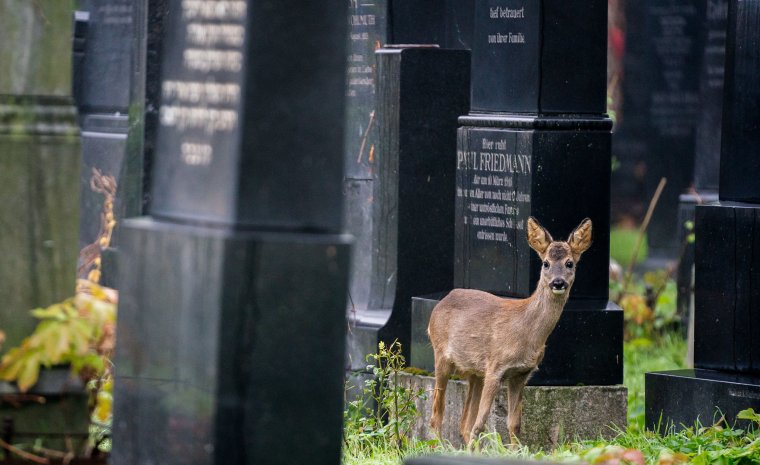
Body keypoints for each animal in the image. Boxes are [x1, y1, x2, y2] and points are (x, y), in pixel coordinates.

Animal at [428, 216, 592, 444]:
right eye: (546, 263)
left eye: (570, 263)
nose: (558, 282)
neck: (526, 332)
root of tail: (441, 303)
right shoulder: (495, 367)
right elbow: (480, 424)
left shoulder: (521, 374)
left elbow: (513, 425)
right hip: (441, 355)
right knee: (436, 416)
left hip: (475, 372)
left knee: (463, 424)